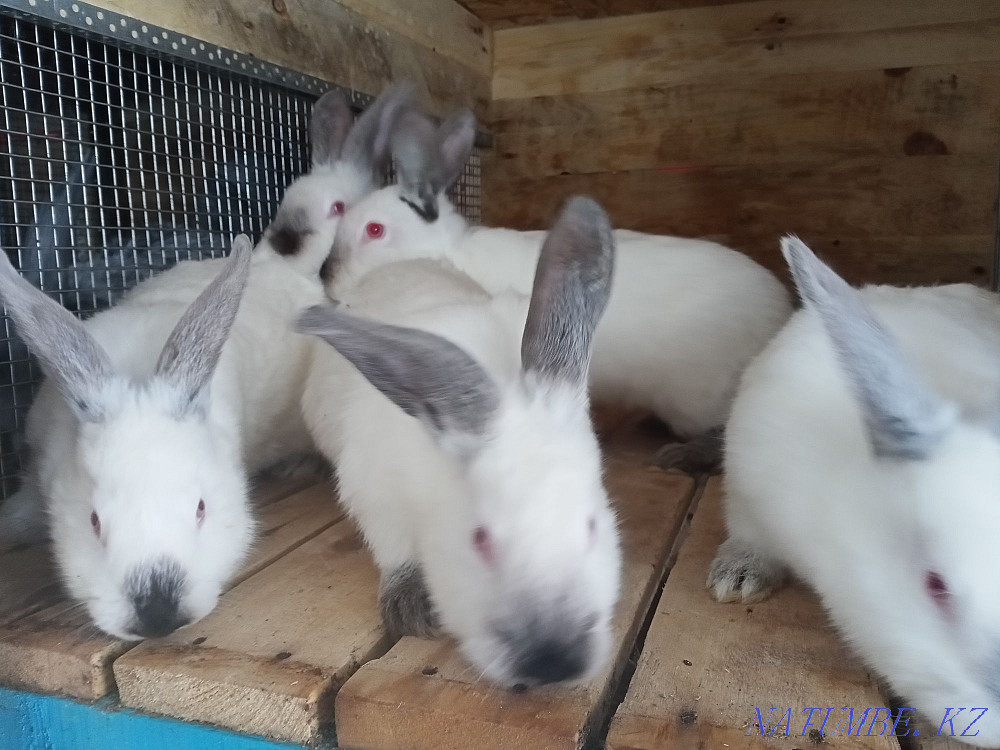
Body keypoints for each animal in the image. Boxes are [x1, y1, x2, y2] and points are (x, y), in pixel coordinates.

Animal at [298, 196, 622, 687]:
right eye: (480, 539)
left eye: (591, 526)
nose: (553, 662)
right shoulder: (371, 489)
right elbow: (395, 549)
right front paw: (412, 608)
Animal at [326, 108, 793, 474]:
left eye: (374, 230)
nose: (327, 276)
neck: (449, 250)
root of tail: (784, 315)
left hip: (701, 397)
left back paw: (679, 455)